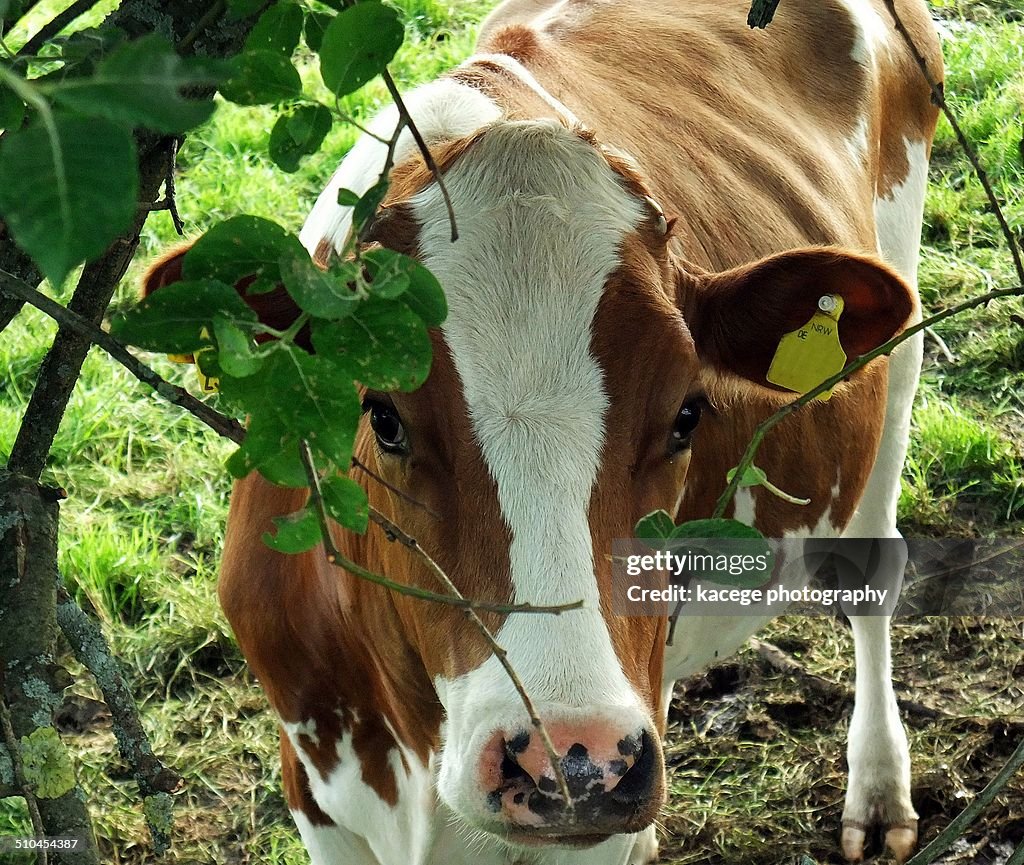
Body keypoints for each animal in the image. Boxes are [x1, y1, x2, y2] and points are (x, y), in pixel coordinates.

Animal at [146, 1, 942, 863]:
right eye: (382, 416)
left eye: (687, 413)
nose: (576, 759)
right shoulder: (313, 787)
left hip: (900, 346)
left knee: (874, 573)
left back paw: (879, 789)